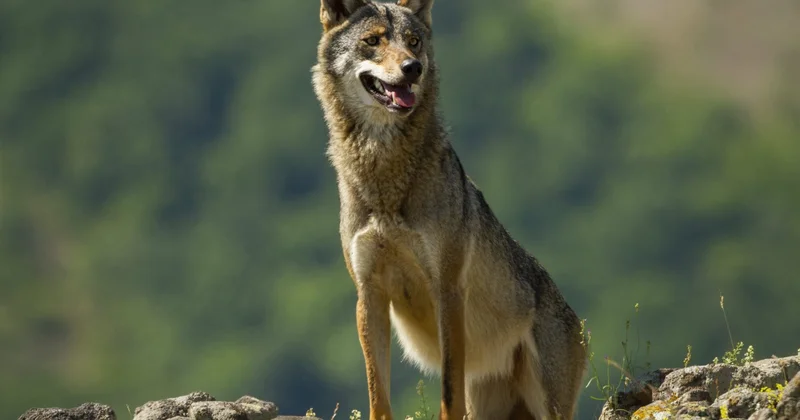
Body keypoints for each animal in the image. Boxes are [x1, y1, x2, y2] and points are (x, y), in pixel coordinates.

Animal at [312, 1, 587, 419]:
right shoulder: (369, 294)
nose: (413, 67)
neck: (385, 180)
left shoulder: (448, 289)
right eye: (373, 41)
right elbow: (378, 393)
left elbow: (447, 390)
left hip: (548, 404)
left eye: (413, 41)